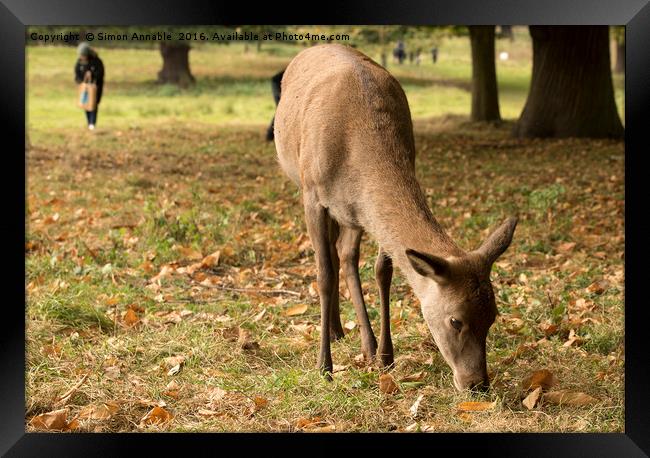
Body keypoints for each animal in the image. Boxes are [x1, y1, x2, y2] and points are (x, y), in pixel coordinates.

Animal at [274, 44, 516, 392]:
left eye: (493, 315)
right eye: (455, 319)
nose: (477, 384)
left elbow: (382, 270)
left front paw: (386, 357)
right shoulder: (312, 194)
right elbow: (323, 275)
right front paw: (324, 367)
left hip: (351, 216)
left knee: (346, 255)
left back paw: (362, 341)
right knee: (333, 258)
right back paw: (337, 333)